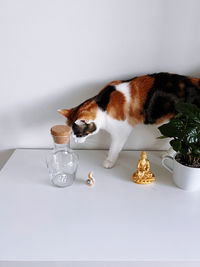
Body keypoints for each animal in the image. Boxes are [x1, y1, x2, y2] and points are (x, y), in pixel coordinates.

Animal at [58, 73, 200, 170]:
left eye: (79, 134)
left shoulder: (121, 131)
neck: (103, 105)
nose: (75, 141)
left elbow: (115, 147)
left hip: (185, 120)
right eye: (72, 134)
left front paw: (110, 160)